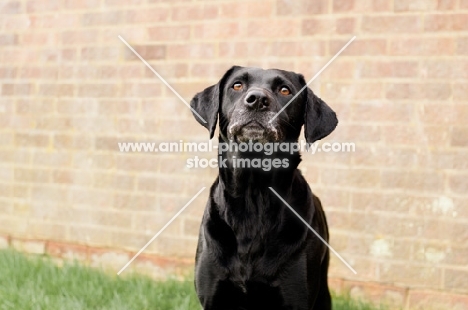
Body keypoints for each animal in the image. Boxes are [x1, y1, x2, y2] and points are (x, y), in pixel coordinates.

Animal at [189, 66, 336, 308]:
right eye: (237, 85)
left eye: (285, 90)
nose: (257, 100)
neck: (254, 196)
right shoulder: (213, 297)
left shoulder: (296, 298)